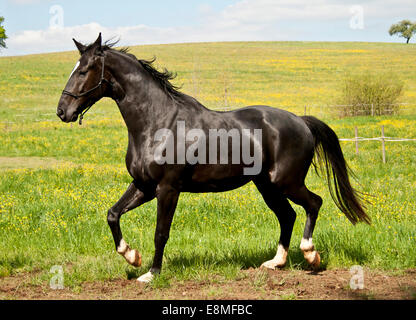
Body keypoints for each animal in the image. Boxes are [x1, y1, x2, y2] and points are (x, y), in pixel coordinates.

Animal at [56, 34, 370, 282]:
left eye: (84, 70)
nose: (62, 111)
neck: (157, 123)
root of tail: (301, 121)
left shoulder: (167, 189)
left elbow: (161, 232)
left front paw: (151, 274)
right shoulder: (143, 185)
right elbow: (113, 214)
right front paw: (133, 256)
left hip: (286, 182)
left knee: (313, 203)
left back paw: (310, 255)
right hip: (266, 186)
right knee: (288, 215)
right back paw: (275, 262)